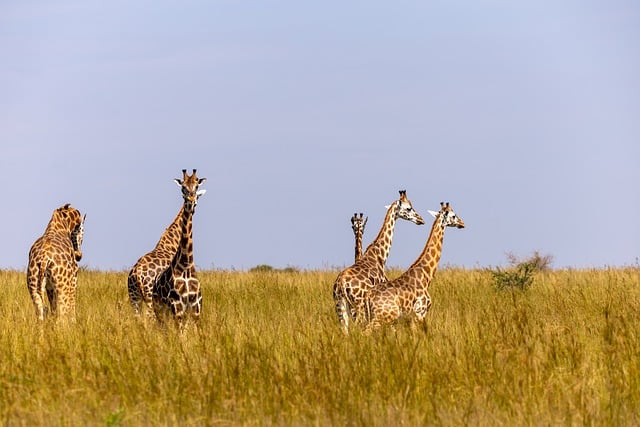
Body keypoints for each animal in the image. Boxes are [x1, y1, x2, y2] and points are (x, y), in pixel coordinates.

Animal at [152, 169, 205, 330]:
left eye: (196, 186)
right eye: (183, 187)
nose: (191, 200)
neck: (186, 265)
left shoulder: (195, 308)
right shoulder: (177, 307)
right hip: (160, 310)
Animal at [332, 191, 428, 334]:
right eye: (408, 208)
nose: (421, 220)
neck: (380, 256)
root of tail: (342, 284)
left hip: (340, 307)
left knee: (345, 332)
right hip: (358, 307)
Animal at [364, 201, 464, 332]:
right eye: (453, 215)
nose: (462, 223)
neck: (426, 274)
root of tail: (369, 296)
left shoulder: (410, 318)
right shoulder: (420, 313)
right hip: (385, 316)